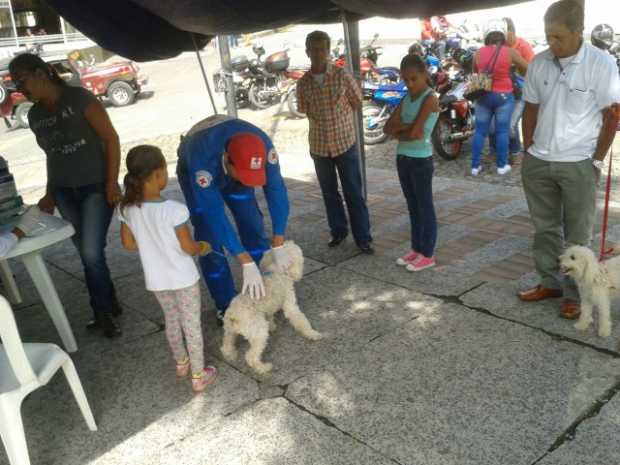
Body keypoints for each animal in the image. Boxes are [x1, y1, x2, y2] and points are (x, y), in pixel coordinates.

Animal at [221, 241, 322, 374]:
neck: (276, 269)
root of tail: (234, 315)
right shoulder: (289, 302)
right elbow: (299, 319)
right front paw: (312, 333)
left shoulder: (268, 309)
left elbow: (270, 316)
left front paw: (272, 326)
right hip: (258, 331)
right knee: (251, 356)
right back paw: (263, 367)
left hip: (229, 330)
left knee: (226, 344)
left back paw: (230, 355)